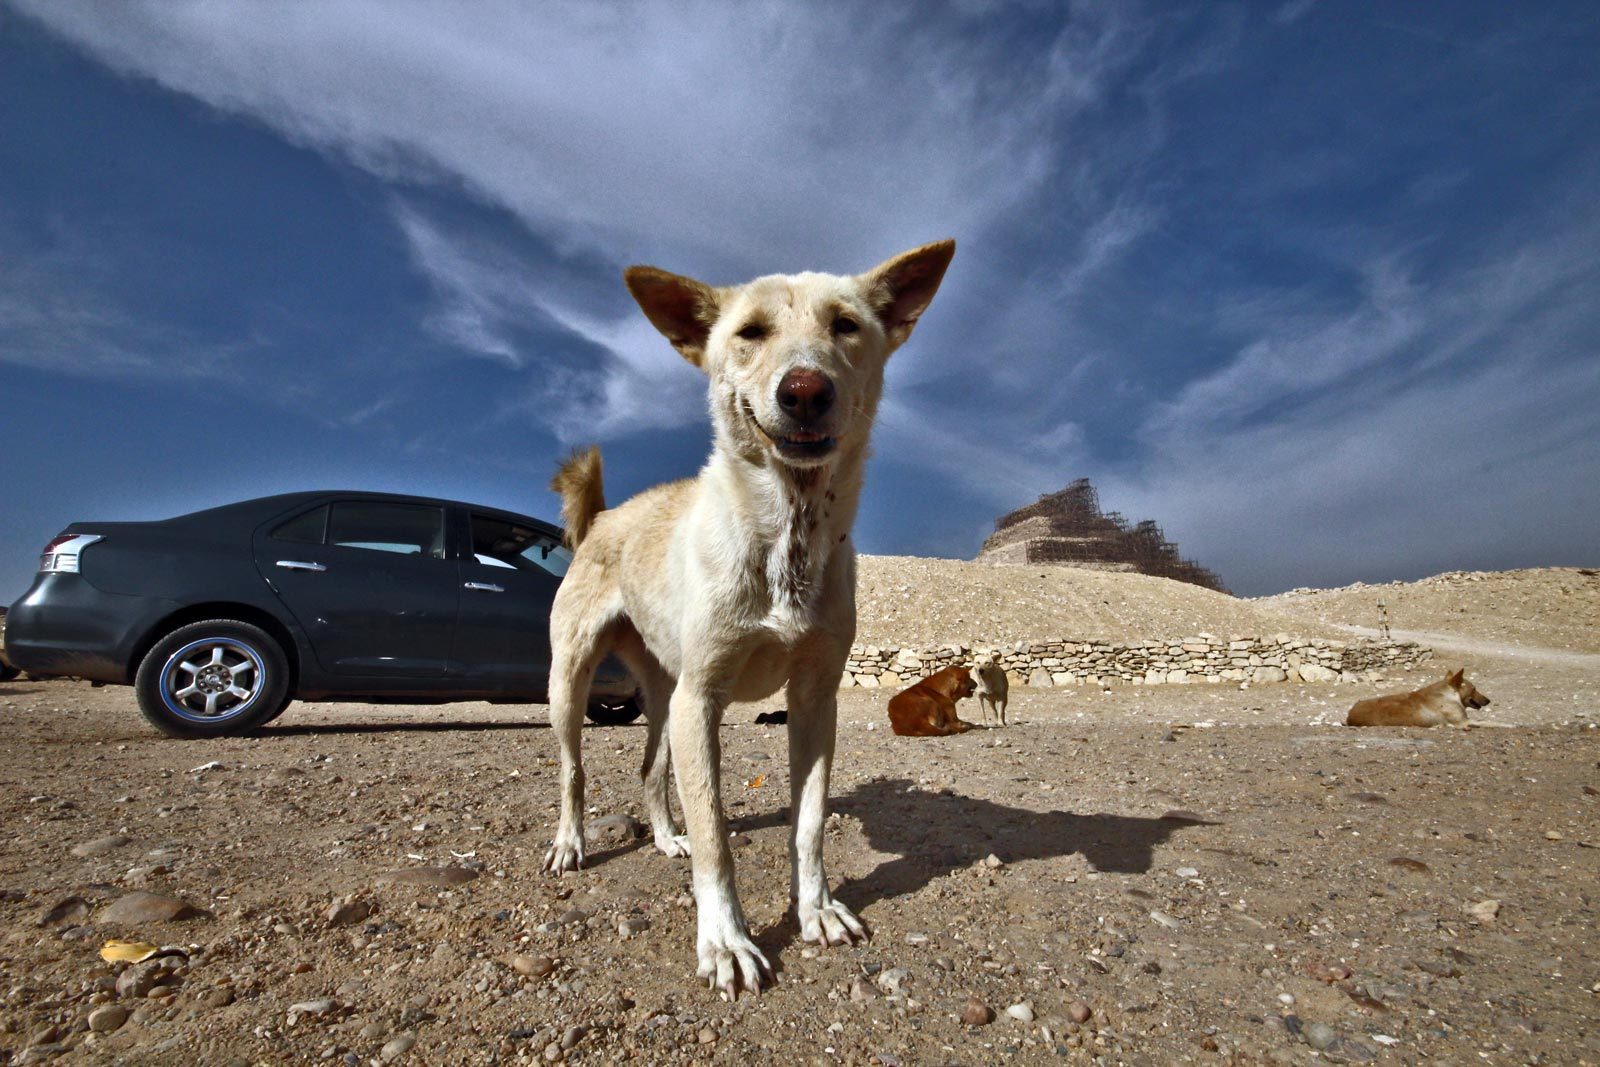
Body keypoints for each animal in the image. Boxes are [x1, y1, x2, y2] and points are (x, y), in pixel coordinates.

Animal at [544, 238, 953, 998]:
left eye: (845, 325)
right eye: (750, 333)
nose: (804, 390)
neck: (783, 534)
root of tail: (602, 520)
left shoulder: (813, 698)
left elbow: (809, 821)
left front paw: (816, 910)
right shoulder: (703, 698)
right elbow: (717, 839)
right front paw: (726, 942)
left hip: (663, 693)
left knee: (651, 769)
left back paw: (663, 835)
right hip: (574, 682)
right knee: (573, 771)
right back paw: (569, 843)